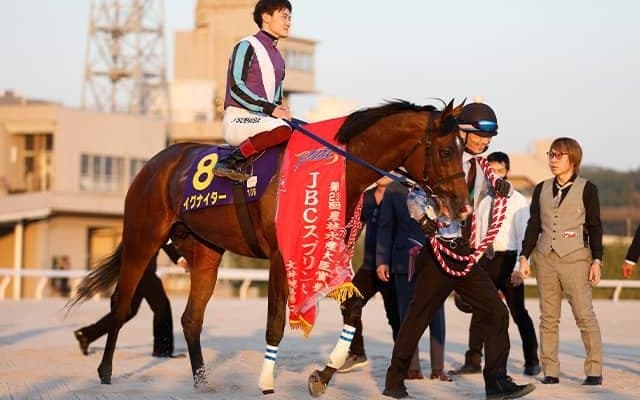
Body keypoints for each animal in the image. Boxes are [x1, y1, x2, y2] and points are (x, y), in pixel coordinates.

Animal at [70, 99, 472, 394]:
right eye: (446, 151)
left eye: (463, 151)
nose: (464, 207)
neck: (331, 170)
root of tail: (156, 162)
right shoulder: (281, 257)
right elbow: (275, 323)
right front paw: (266, 382)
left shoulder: (325, 255)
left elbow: (353, 310)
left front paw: (322, 375)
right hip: (143, 238)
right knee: (122, 303)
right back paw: (105, 370)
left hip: (205, 251)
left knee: (191, 318)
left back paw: (202, 381)